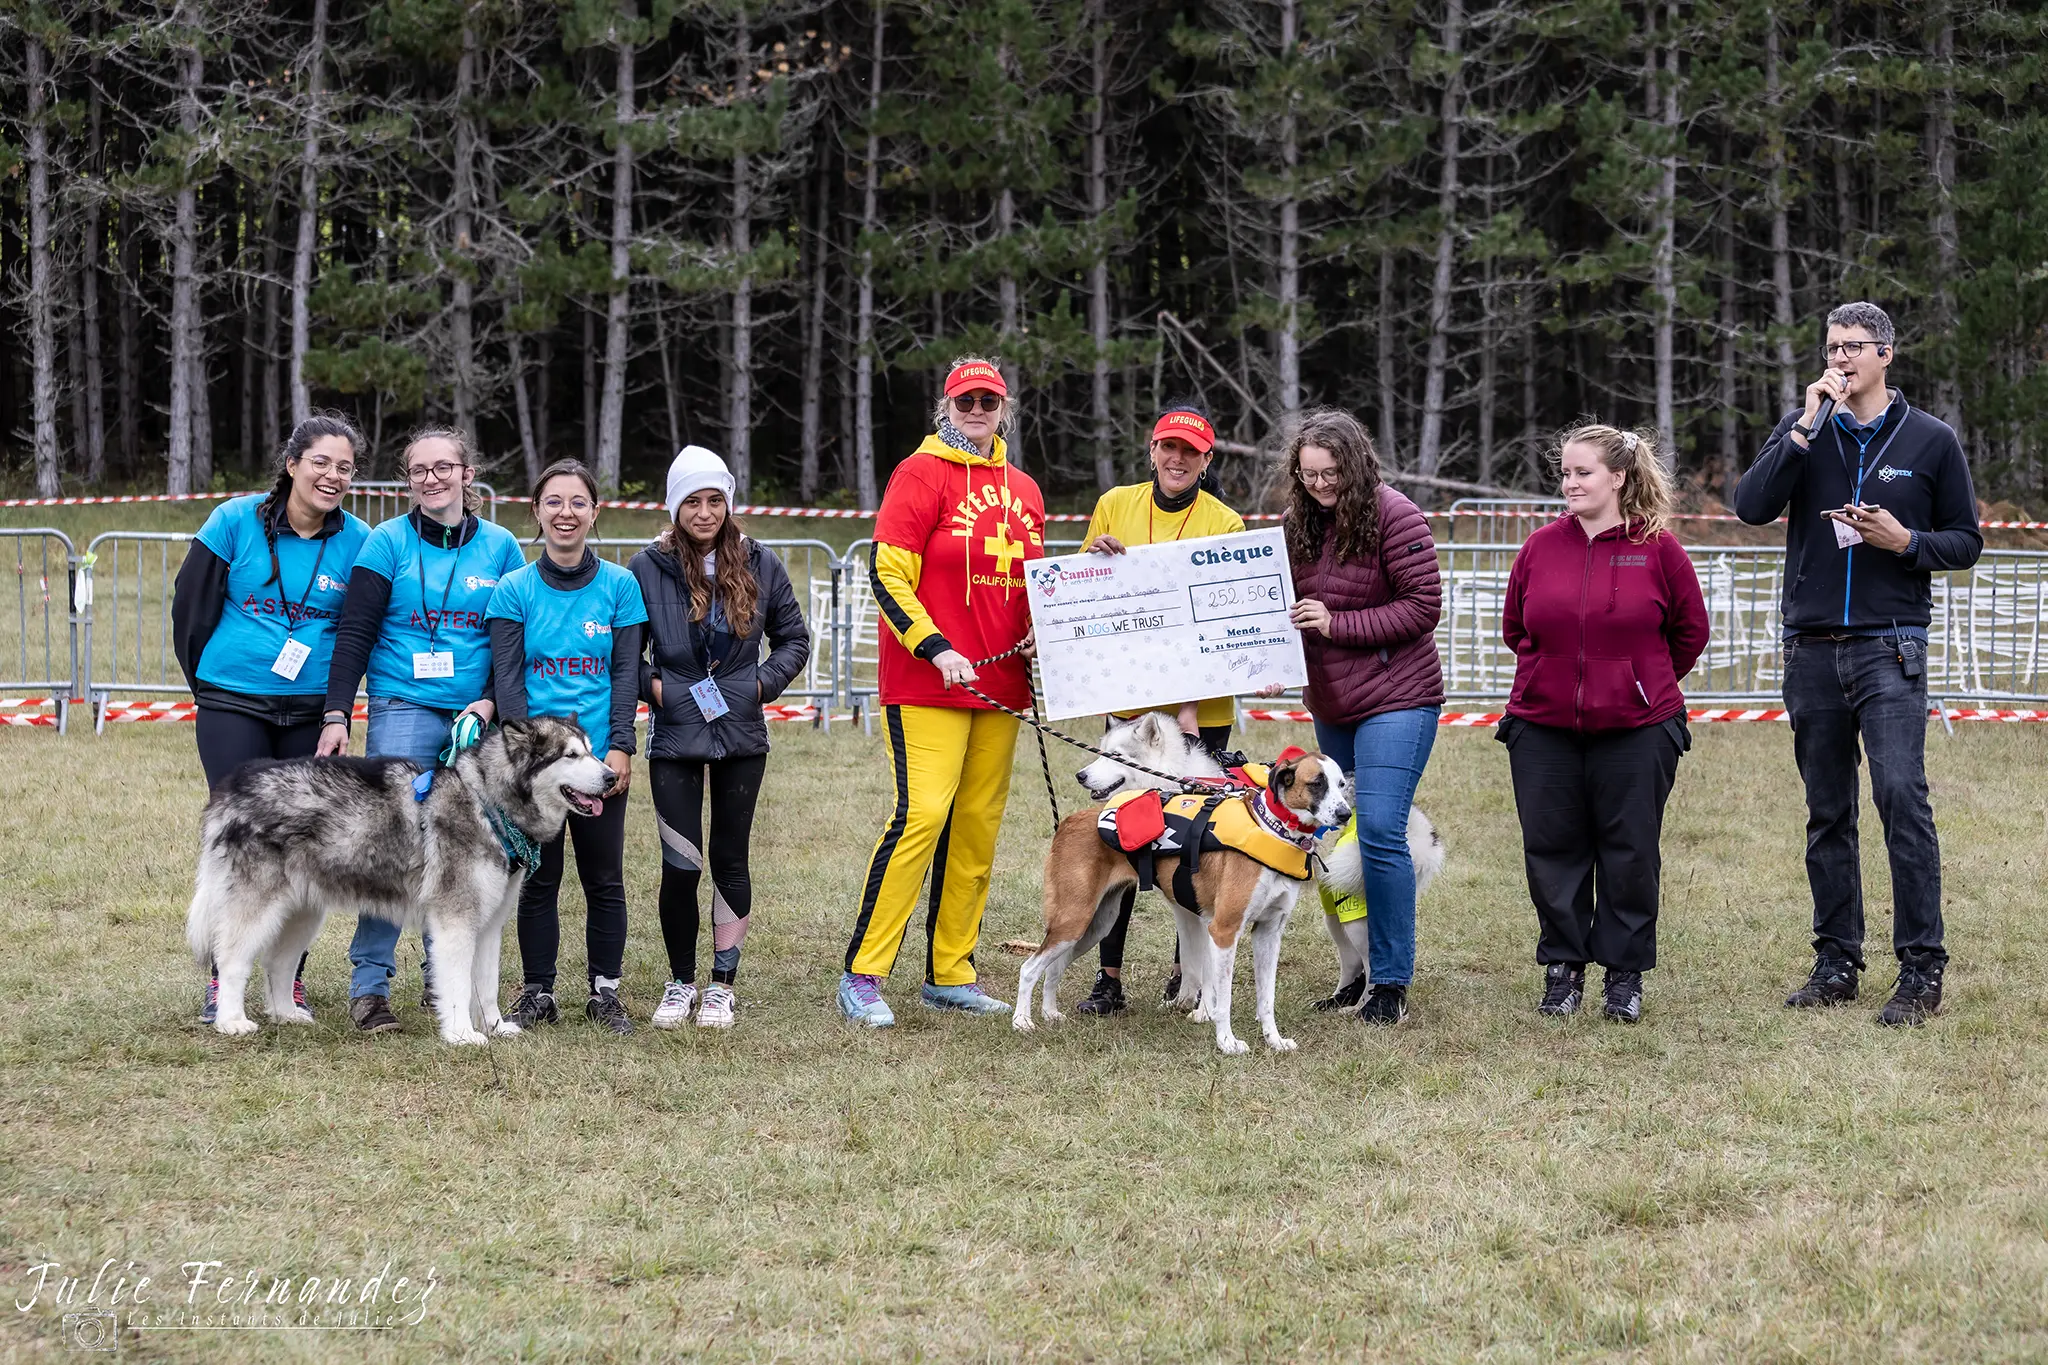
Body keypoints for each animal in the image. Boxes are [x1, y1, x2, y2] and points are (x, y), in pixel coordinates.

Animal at [1011, 716, 1359, 1055]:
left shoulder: (1268, 933)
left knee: (1053, 967)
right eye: (1317, 783)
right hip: (1074, 920)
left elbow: (1266, 999)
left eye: (1341, 785)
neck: (1271, 830)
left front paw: (1273, 1040)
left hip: (1093, 925)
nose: (1345, 814)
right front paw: (1226, 1042)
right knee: (1029, 967)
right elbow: (1222, 996)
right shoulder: (1223, 930)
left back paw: (1050, 1013)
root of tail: (1070, 821)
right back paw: (1021, 1022)